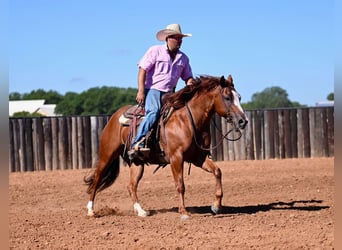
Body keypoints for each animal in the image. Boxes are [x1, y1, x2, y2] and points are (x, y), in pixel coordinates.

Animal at [83, 73, 248, 219]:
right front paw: (184, 212)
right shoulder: (176, 158)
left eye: (239, 97)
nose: (243, 121)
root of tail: (114, 117)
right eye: (227, 97)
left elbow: (217, 172)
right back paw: (91, 210)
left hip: (136, 163)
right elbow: (180, 184)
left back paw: (141, 212)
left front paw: (216, 206)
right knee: (97, 179)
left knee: (131, 186)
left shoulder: (198, 158)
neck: (188, 121)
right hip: (107, 155)